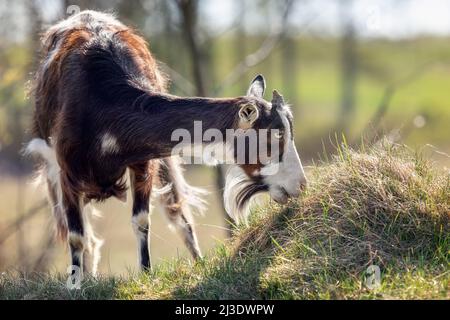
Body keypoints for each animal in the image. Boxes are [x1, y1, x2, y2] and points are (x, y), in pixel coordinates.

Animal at [24, 11, 306, 276]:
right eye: (274, 136)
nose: (300, 185)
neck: (101, 103)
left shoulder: (142, 162)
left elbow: (141, 220)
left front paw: (146, 275)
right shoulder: (67, 172)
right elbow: (76, 236)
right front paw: (76, 284)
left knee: (178, 214)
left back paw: (198, 262)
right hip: (52, 170)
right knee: (82, 233)